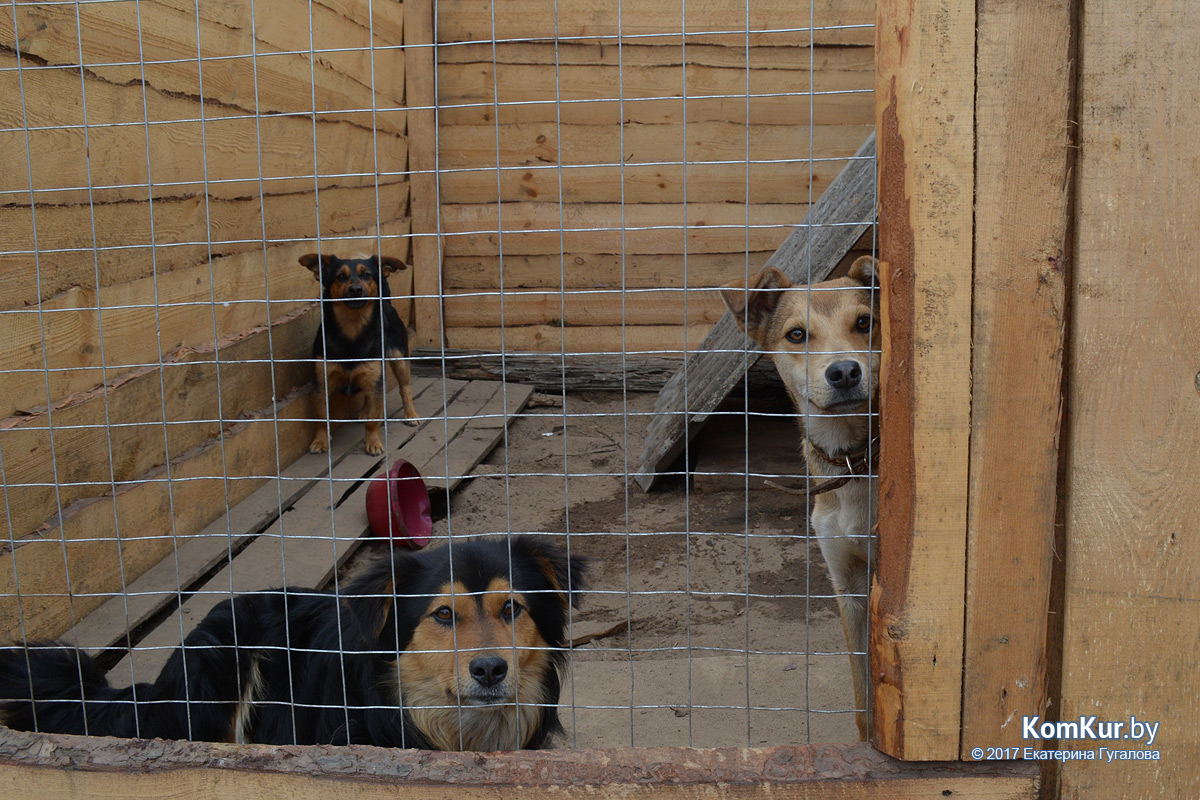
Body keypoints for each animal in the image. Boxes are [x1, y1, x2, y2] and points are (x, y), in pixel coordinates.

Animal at [300, 256, 422, 455]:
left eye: (367, 275)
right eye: (340, 276)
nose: (356, 289)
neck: (352, 328)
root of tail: (387, 302)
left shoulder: (376, 380)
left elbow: (373, 420)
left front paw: (373, 442)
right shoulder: (321, 384)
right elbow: (322, 417)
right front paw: (321, 440)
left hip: (399, 359)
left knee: (405, 388)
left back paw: (410, 414)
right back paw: (365, 411)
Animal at [720, 256, 883, 738]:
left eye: (864, 322)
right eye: (796, 334)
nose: (844, 372)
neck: (851, 463)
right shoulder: (849, 587)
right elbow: (864, 703)